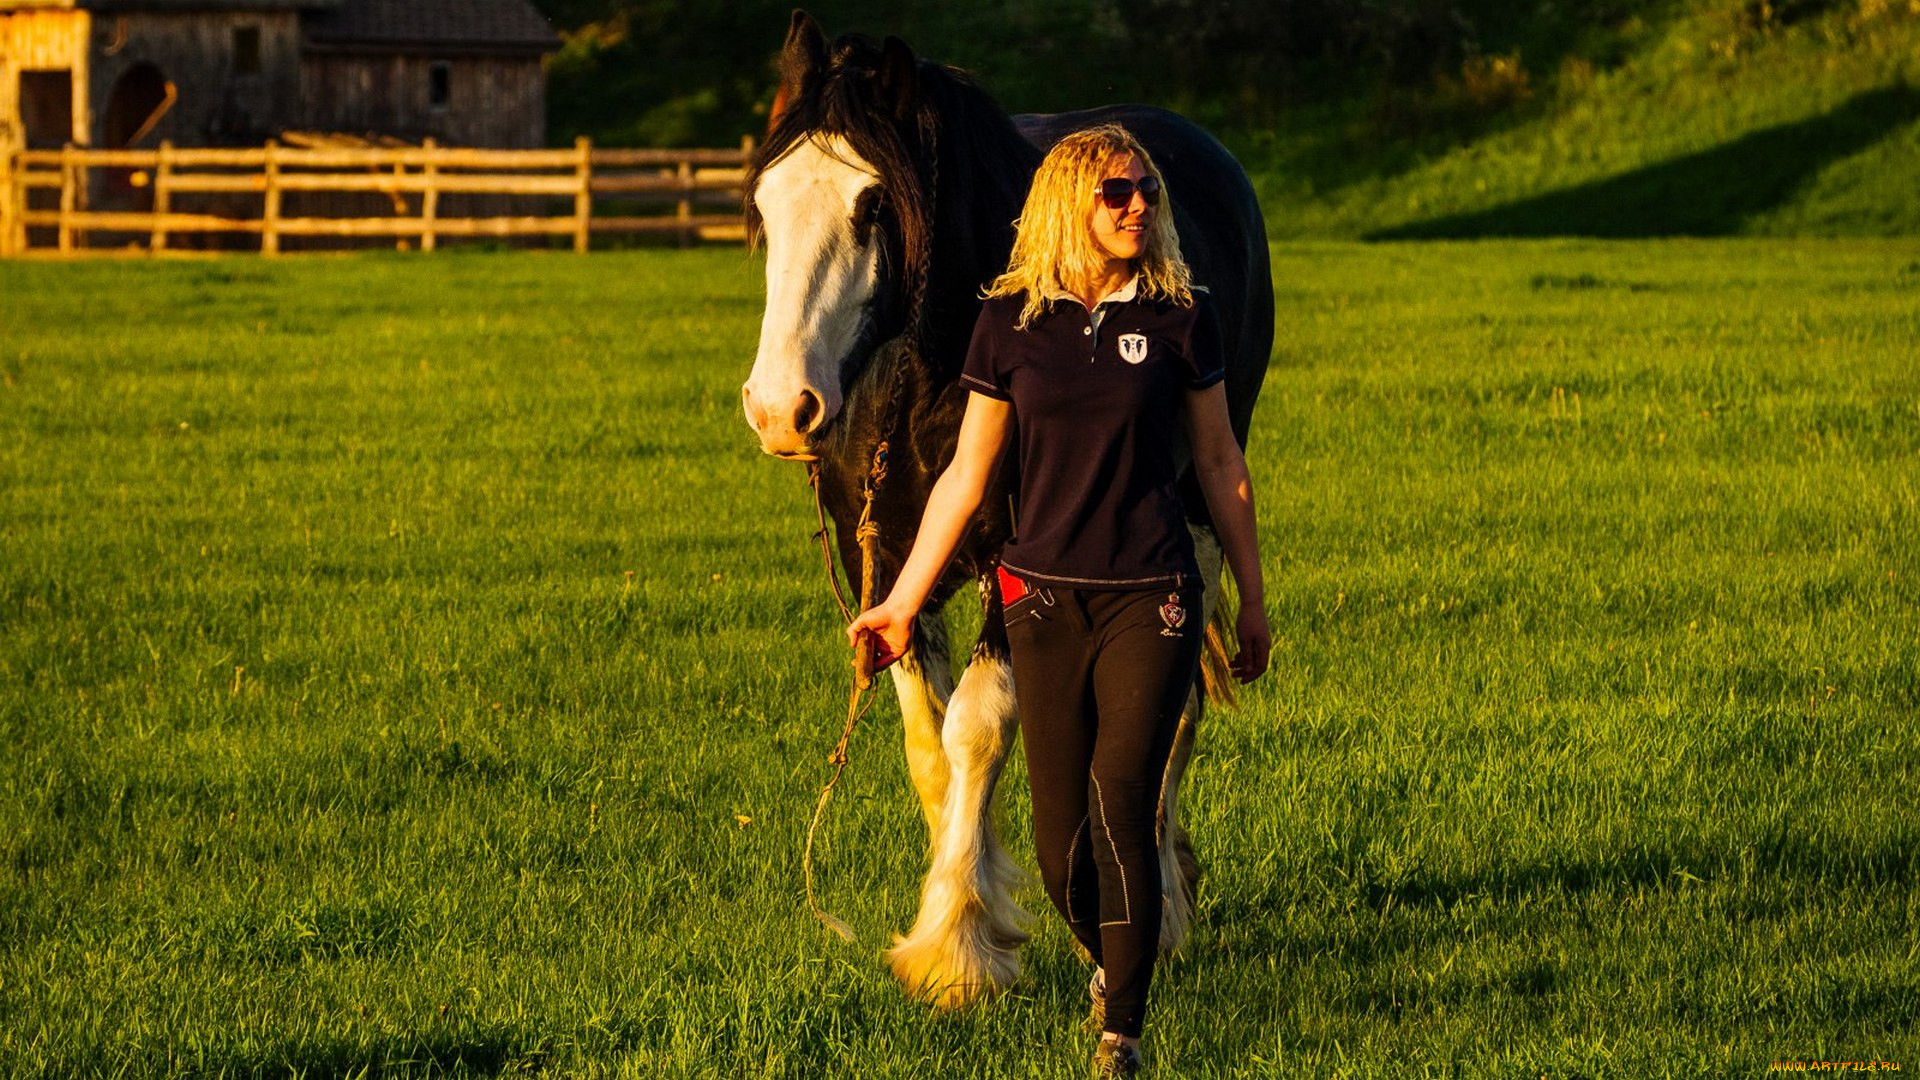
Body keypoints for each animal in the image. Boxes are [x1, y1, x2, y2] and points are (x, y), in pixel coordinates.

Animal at [741, 8, 1267, 1006]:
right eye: (763, 205)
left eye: (873, 206)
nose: (781, 409)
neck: (925, 381)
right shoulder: (890, 571)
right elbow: (929, 746)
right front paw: (975, 917)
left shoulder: (1014, 566)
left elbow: (978, 727)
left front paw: (956, 949)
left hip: (1198, 520)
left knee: (1175, 711)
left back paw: (1162, 900)